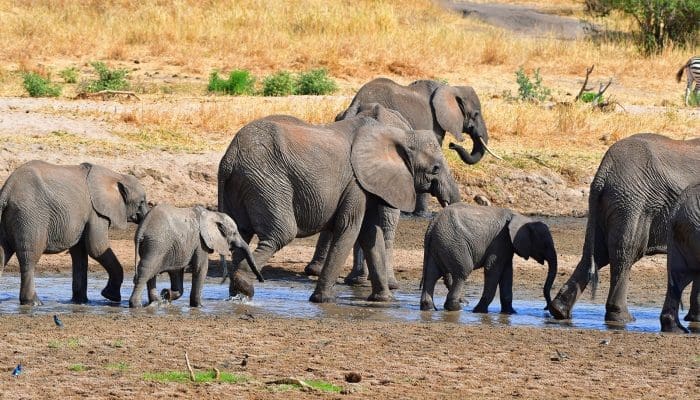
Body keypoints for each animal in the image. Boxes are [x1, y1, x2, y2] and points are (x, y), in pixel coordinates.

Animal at [0, 160, 148, 305]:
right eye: (141, 202)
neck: (116, 176)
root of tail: (7, 190)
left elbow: (80, 253)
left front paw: (80, 301)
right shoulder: (96, 212)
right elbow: (97, 248)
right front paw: (111, 297)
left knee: (3, 254)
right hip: (30, 216)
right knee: (30, 257)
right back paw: (33, 302)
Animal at [129, 204, 262, 308]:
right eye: (234, 233)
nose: (261, 280)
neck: (212, 214)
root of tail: (141, 229)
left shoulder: (181, 247)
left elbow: (177, 272)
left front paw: (167, 295)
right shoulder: (200, 241)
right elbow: (201, 268)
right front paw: (199, 306)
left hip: (155, 245)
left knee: (150, 273)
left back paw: (155, 301)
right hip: (157, 245)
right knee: (146, 271)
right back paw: (136, 305)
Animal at [218, 107, 459, 303]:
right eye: (436, 168)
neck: (399, 135)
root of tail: (230, 158)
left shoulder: (368, 185)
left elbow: (371, 234)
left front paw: (384, 300)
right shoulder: (356, 183)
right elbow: (350, 229)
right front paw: (323, 300)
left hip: (243, 184)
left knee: (241, 234)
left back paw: (236, 294)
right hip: (267, 181)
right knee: (281, 233)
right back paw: (245, 284)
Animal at [336, 77, 496, 216]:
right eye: (476, 113)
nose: (452, 145)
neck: (450, 88)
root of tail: (356, 103)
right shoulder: (434, 124)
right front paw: (422, 215)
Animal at [420, 203, 557, 313]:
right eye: (545, 245)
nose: (546, 308)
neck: (520, 217)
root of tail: (432, 224)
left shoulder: (507, 245)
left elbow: (507, 273)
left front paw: (511, 313)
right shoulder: (500, 240)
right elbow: (493, 269)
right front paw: (479, 311)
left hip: (439, 245)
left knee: (432, 274)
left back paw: (428, 308)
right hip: (454, 244)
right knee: (462, 272)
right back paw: (456, 308)